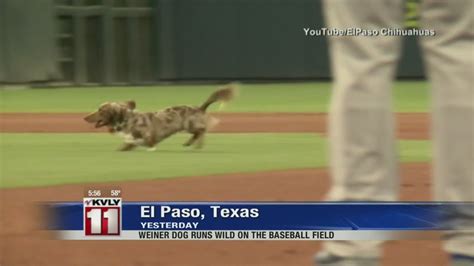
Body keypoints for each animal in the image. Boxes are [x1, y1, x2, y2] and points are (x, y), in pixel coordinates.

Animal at [84, 85, 236, 152]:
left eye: (100, 110)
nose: (85, 117)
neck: (128, 120)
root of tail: (199, 107)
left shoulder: (148, 138)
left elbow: (149, 144)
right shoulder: (132, 141)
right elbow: (125, 146)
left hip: (189, 125)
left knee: (202, 131)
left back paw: (192, 144)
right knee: (200, 134)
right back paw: (193, 145)